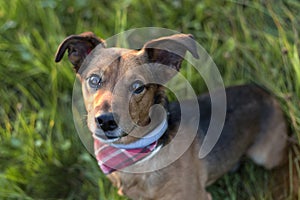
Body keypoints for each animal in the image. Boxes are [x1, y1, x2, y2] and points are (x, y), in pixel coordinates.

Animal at [55, 32, 288, 199]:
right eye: (94, 80)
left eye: (138, 87)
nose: (105, 121)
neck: (140, 154)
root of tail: (264, 92)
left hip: (266, 156)